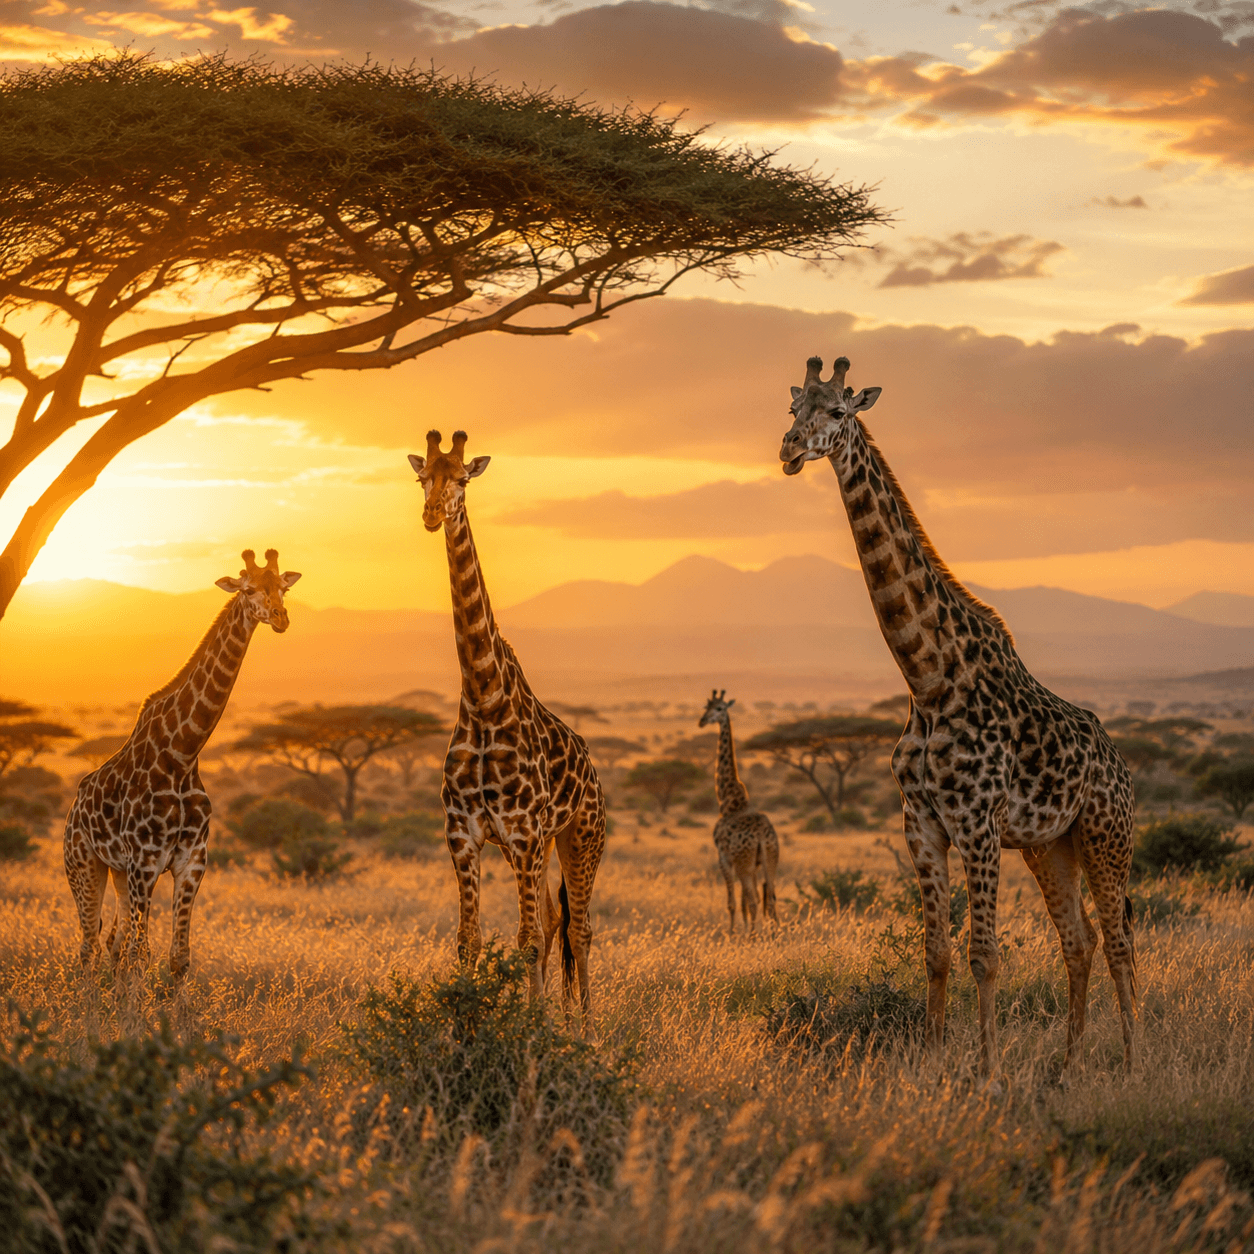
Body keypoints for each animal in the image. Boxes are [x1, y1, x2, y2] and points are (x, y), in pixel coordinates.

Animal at [64, 549, 301, 983]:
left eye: (283, 587)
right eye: (249, 589)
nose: (280, 617)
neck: (182, 754)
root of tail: (73, 808)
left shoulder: (191, 862)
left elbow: (178, 959)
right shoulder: (144, 863)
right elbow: (142, 957)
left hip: (117, 872)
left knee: (112, 944)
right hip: (84, 865)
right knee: (90, 946)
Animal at [408, 430, 606, 1026]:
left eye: (462, 478)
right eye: (422, 477)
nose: (432, 514)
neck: (482, 699)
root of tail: (593, 768)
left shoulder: (524, 833)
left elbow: (525, 942)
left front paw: (533, 1030)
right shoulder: (464, 835)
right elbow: (470, 941)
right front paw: (464, 1024)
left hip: (579, 836)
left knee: (579, 929)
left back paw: (586, 1027)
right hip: (538, 848)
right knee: (554, 923)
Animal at [698, 689, 779, 934]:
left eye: (719, 708)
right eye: (706, 707)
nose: (702, 721)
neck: (728, 799)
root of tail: (762, 836)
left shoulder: (724, 858)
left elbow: (733, 902)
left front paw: (733, 933)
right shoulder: (755, 865)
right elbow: (747, 901)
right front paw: (743, 930)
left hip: (744, 864)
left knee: (754, 900)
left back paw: (752, 935)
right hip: (771, 860)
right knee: (770, 899)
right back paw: (772, 934)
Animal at [778, 357, 1137, 1073]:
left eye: (838, 411)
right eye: (791, 408)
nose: (789, 450)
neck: (928, 680)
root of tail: (1121, 764)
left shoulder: (976, 823)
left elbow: (984, 956)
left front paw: (987, 1072)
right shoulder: (922, 822)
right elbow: (937, 953)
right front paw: (934, 1061)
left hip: (1106, 834)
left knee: (1120, 943)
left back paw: (1138, 1064)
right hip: (1052, 845)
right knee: (1079, 940)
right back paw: (1068, 1065)